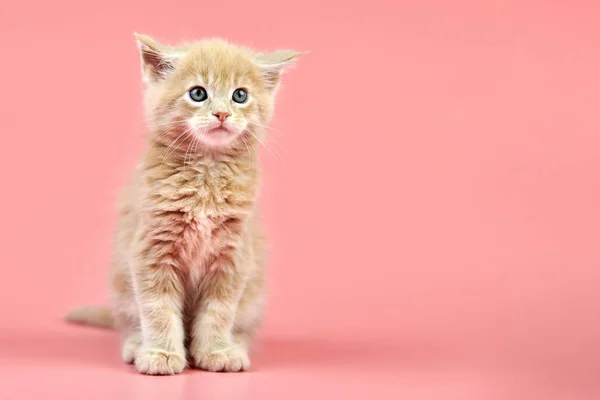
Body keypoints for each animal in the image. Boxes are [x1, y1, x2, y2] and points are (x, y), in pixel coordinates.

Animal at [67, 34, 302, 376]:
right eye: (198, 93)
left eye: (240, 95)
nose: (222, 114)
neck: (207, 173)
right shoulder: (150, 250)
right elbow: (158, 308)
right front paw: (161, 354)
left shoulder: (233, 257)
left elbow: (219, 310)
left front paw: (217, 351)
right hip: (122, 286)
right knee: (130, 321)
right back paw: (136, 344)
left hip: (253, 296)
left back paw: (235, 345)